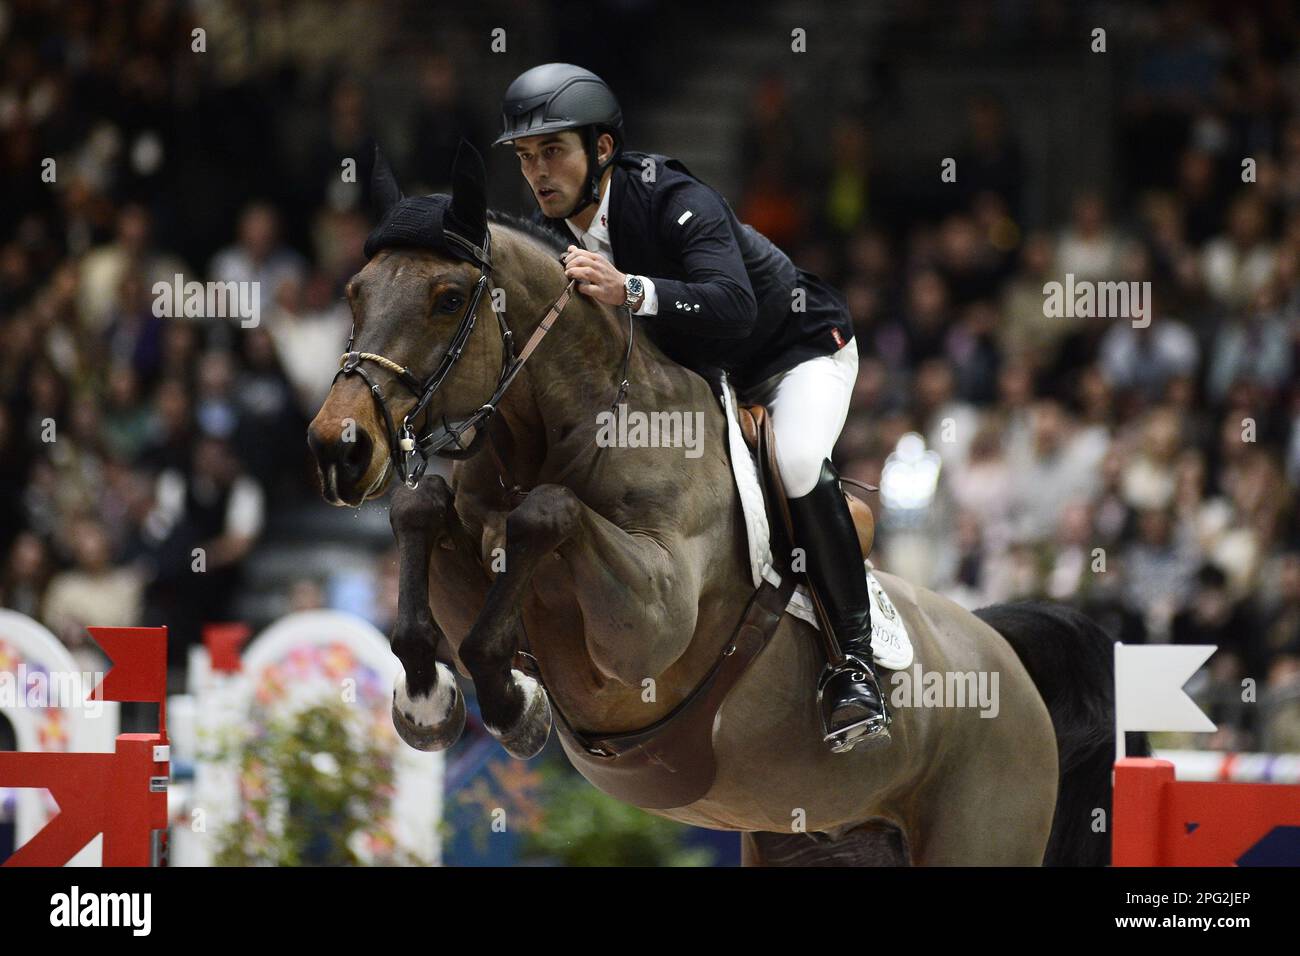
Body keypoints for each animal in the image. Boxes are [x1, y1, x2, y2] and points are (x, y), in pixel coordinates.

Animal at [309, 143, 1123, 868]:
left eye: (448, 299)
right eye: (354, 293)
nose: (338, 449)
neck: (564, 428)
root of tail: (1002, 652)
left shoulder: (648, 624)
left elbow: (548, 513)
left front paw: (512, 708)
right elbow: (420, 507)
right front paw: (427, 701)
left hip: (978, 829)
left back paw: (856, 698)